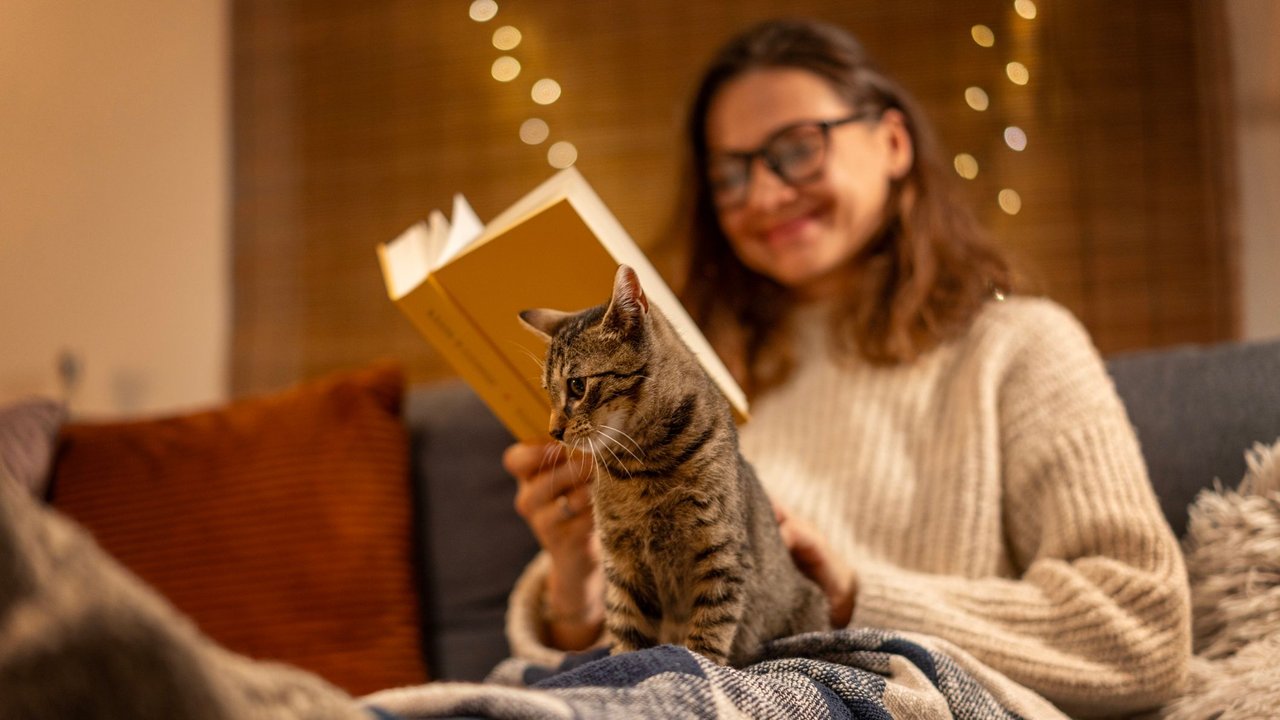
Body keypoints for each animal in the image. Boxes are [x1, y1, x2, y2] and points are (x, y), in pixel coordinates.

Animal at [519, 262, 829, 661]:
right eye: (548, 393)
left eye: (576, 385)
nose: (554, 432)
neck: (641, 465)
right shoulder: (623, 562)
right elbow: (625, 626)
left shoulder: (721, 553)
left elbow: (709, 630)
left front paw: (701, 662)